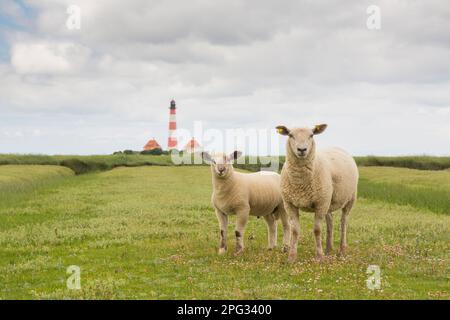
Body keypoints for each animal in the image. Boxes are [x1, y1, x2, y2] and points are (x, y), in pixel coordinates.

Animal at [274, 123, 358, 262]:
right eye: (290, 135)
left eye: (311, 135)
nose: (302, 149)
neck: (300, 183)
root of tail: (337, 147)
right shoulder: (289, 204)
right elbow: (295, 230)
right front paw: (291, 257)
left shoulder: (320, 203)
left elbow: (317, 230)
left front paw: (319, 257)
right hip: (328, 200)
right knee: (330, 222)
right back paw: (328, 249)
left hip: (349, 199)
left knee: (343, 222)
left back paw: (342, 251)